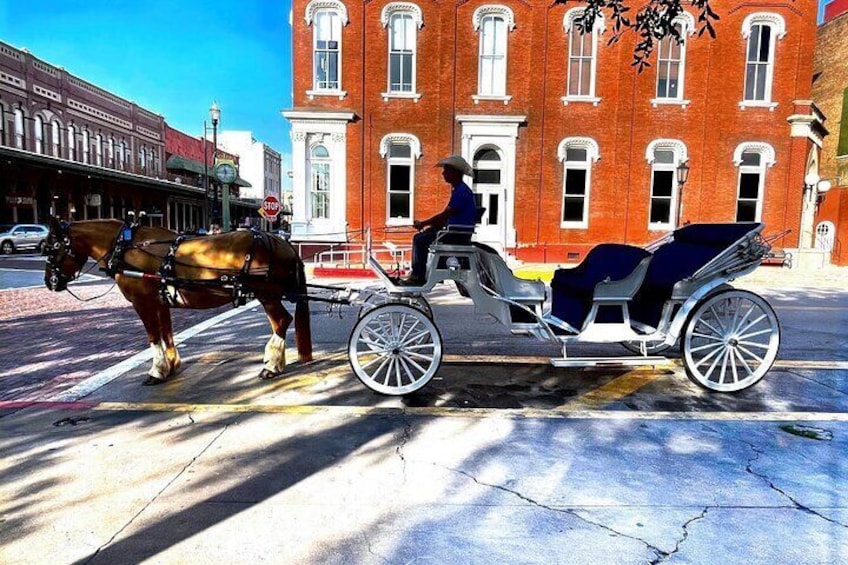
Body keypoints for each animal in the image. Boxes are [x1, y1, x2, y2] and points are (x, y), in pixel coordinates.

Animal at [42, 216, 312, 384]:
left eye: (52, 247)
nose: (50, 282)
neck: (125, 248)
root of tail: (284, 243)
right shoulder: (160, 301)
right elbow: (166, 334)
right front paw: (171, 365)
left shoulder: (142, 301)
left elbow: (153, 336)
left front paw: (156, 371)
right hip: (267, 295)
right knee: (279, 322)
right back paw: (274, 360)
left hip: (267, 294)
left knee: (281, 321)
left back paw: (272, 366)